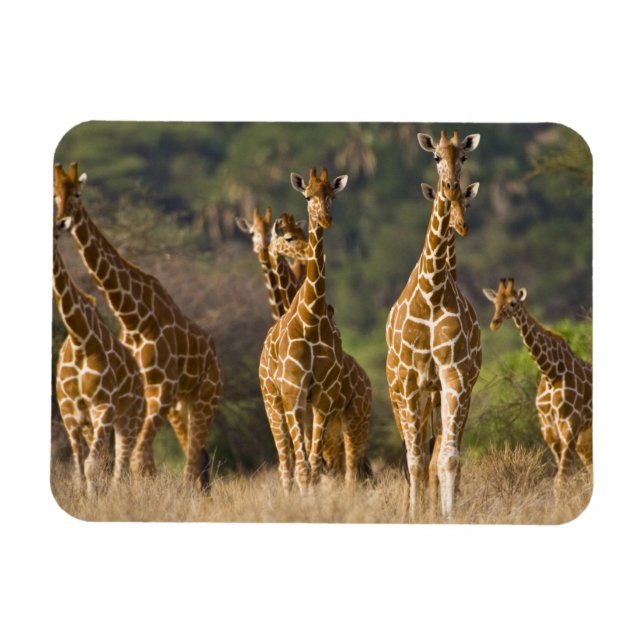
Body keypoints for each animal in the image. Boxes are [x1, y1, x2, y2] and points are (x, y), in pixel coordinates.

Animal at [53, 232, 145, 494]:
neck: (80, 338)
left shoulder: (103, 405)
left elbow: (91, 465)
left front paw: (94, 498)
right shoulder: (69, 411)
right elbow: (79, 469)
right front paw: (83, 496)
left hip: (130, 419)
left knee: (121, 466)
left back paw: (114, 495)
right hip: (92, 424)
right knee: (107, 461)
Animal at [258, 168, 369, 492]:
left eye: (332, 194)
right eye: (308, 196)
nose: (326, 219)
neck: (311, 318)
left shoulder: (322, 398)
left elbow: (315, 468)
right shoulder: (293, 393)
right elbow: (303, 468)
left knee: (343, 469)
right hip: (272, 400)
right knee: (286, 464)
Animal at [482, 278, 592, 497]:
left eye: (513, 303)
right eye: (495, 302)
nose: (494, 323)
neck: (551, 372)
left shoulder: (570, 424)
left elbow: (562, 479)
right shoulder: (548, 427)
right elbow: (561, 479)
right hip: (585, 438)